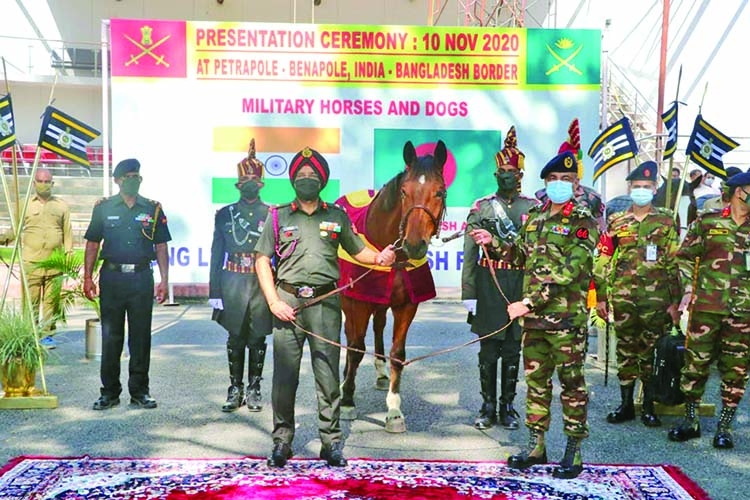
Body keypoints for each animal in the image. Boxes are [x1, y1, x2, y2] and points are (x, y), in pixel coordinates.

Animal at [340, 139, 446, 432]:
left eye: (440, 192)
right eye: (404, 191)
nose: (414, 244)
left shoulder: (406, 305)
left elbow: (398, 353)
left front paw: (394, 411)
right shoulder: (357, 301)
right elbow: (355, 348)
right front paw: (347, 400)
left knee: (377, 327)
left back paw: (379, 372)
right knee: (351, 336)